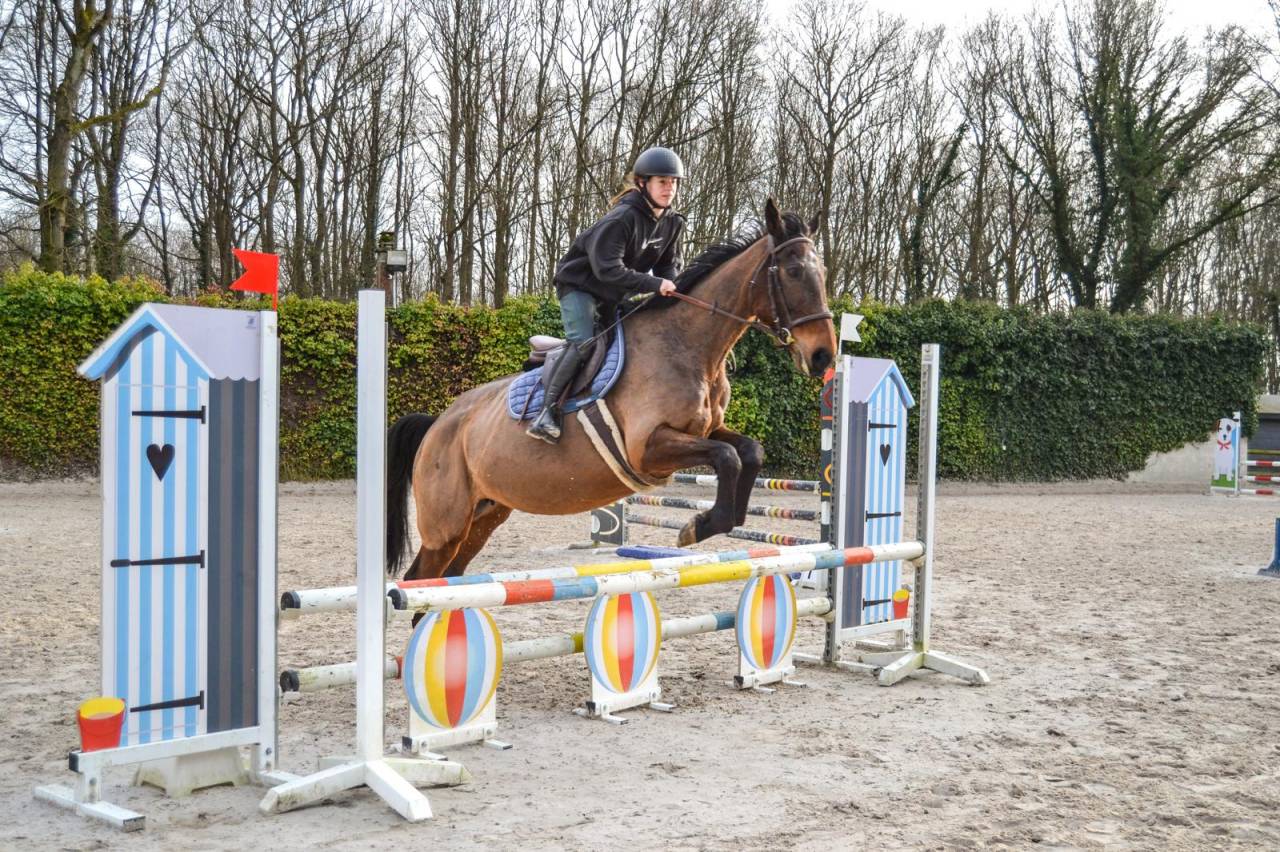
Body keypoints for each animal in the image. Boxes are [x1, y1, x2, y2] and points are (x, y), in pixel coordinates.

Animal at [386, 198, 837, 583]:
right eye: (793, 272)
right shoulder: (648, 448)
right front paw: (696, 527)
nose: (823, 356)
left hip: (485, 516)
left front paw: (715, 521)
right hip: (445, 525)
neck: (688, 346)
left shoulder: (706, 431)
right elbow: (727, 456)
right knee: (419, 579)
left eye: (824, 274)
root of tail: (439, 424)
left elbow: (749, 452)